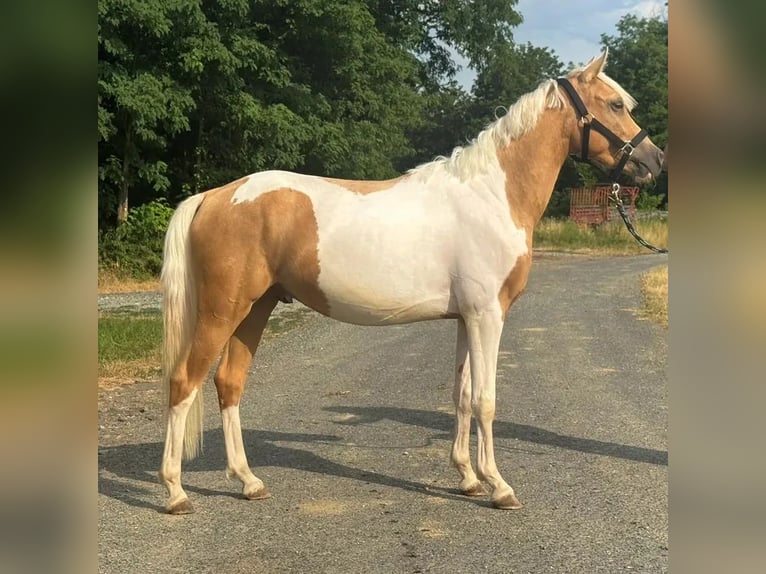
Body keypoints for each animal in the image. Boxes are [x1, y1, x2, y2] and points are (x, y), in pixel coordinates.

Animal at [159, 49, 665, 514]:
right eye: (615, 104)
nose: (654, 160)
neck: (494, 195)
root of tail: (216, 195)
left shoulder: (465, 318)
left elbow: (461, 396)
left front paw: (467, 478)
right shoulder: (487, 315)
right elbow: (486, 399)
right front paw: (498, 486)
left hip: (255, 308)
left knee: (229, 383)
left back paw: (248, 482)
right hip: (223, 310)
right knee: (184, 382)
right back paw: (176, 492)